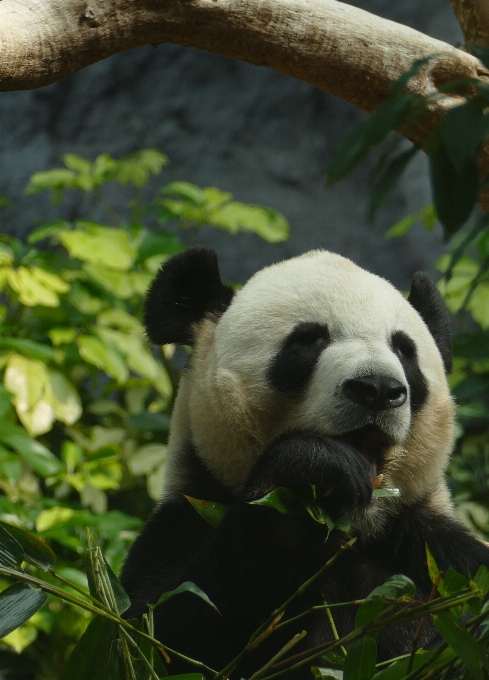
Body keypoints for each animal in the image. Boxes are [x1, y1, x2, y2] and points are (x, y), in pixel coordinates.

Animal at [120, 247, 488, 676]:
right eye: (309, 339)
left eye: (403, 349)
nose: (378, 388)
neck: (355, 529)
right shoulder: (184, 522)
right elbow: (166, 636)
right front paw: (314, 472)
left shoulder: (438, 554)